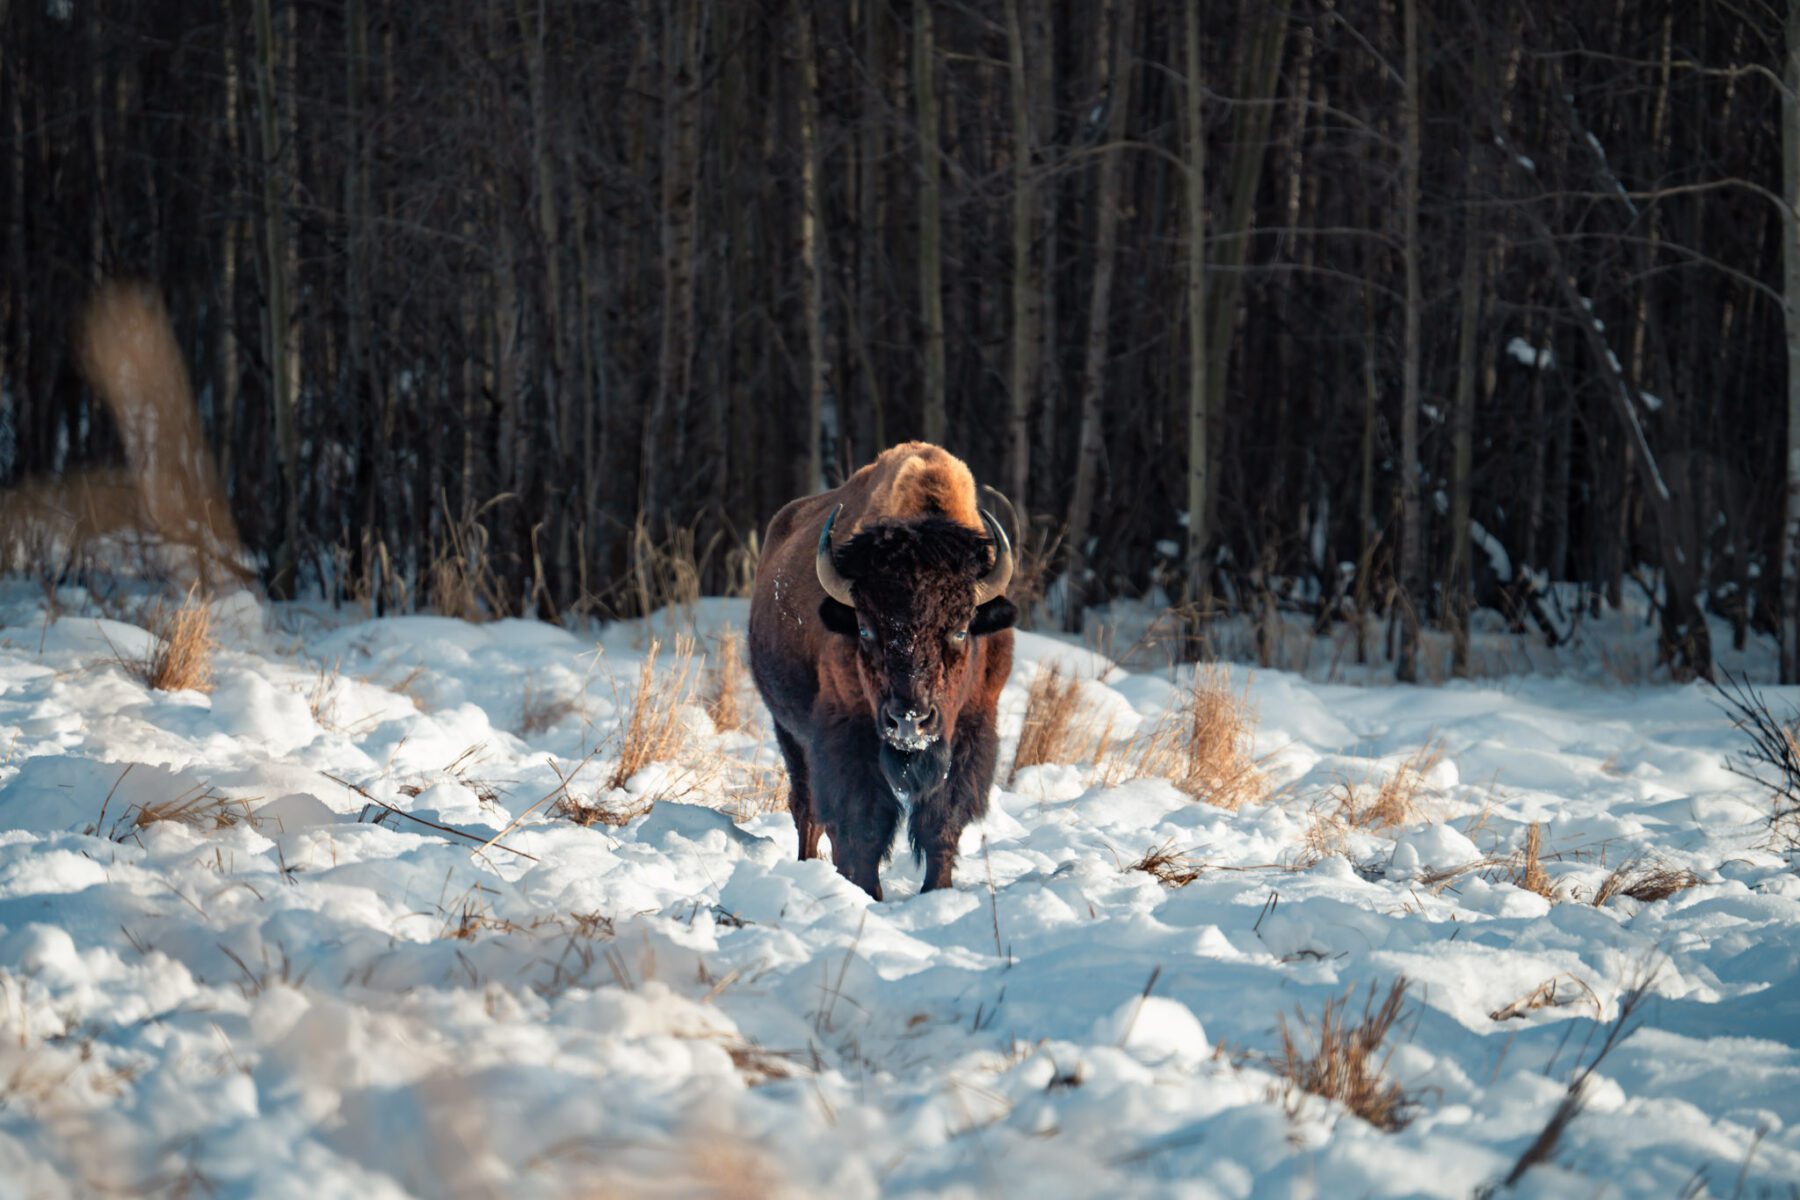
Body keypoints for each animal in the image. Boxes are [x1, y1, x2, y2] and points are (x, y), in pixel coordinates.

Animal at [745, 446, 1015, 895]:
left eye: (961, 629)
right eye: (865, 628)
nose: (909, 720)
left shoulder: (972, 725)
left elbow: (942, 818)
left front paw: (937, 891)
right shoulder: (848, 732)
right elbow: (863, 822)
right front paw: (868, 894)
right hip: (790, 733)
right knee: (809, 811)